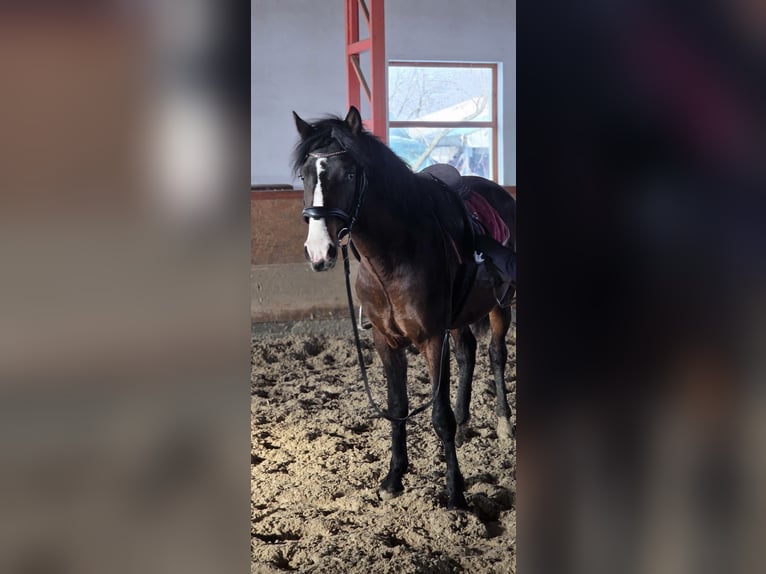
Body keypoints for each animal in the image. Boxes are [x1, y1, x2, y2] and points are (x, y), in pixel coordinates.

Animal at [292, 106, 515, 510]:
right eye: (305, 174)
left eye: (349, 174)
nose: (320, 252)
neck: (394, 255)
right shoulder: (386, 341)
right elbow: (397, 407)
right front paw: (394, 478)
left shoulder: (431, 339)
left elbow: (439, 415)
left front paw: (455, 493)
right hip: (459, 318)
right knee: (467, 354)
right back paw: (465, 424)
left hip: (500, 306)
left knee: (495, 355)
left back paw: (504, 423)